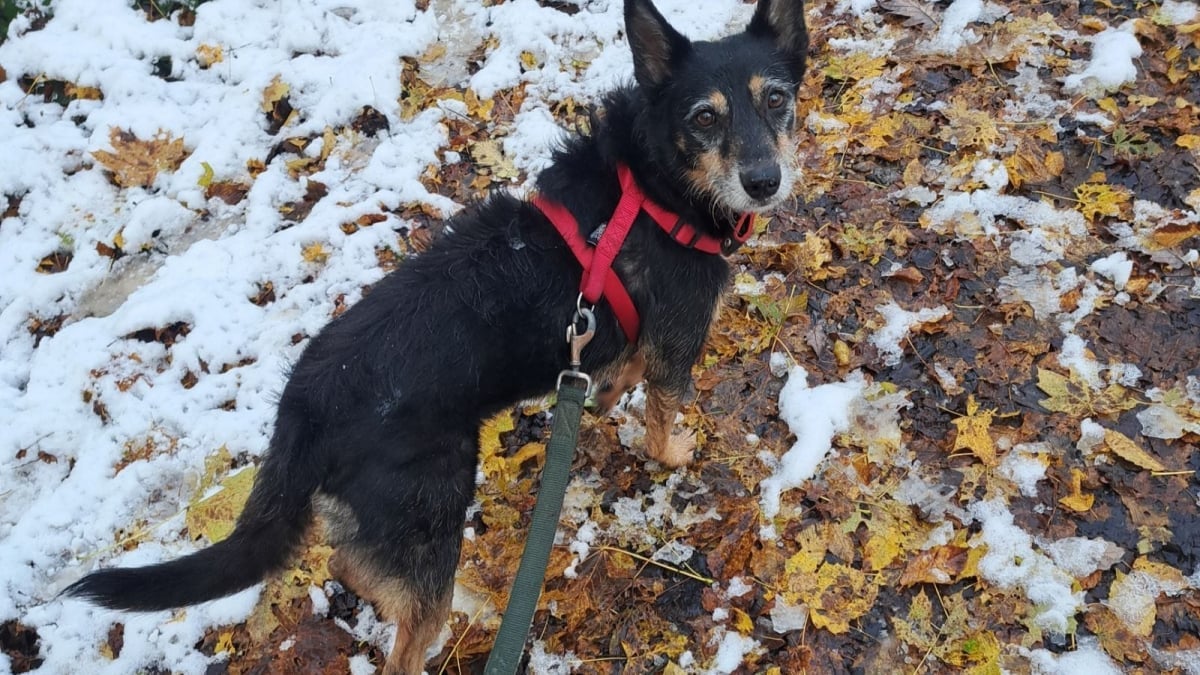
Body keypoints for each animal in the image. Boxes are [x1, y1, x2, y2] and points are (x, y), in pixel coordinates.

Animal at [65, 2, 806, 667]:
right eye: (704, 117)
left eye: (776, 100)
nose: (764, 182)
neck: (653, 187)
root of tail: (304, 405)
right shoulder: (680, 343)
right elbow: (662, 415)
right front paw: (674, 452)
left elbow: (617, 370)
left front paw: (606, 394)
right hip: (433, 514)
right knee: (405, 627)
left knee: (347, 561)